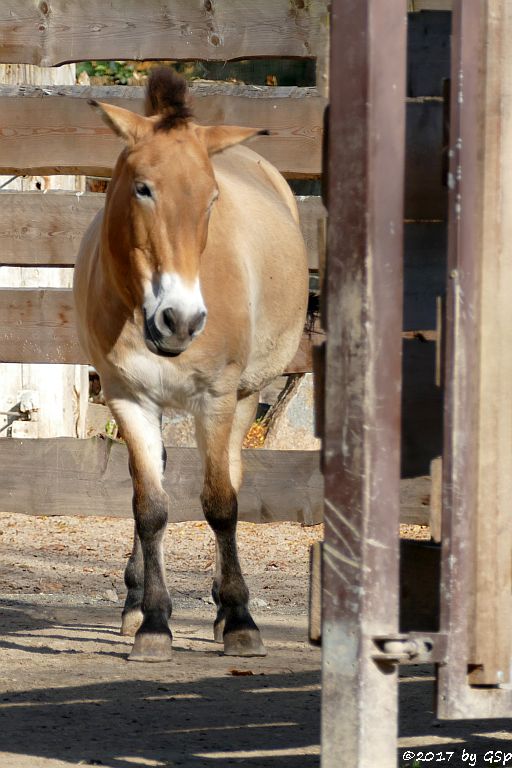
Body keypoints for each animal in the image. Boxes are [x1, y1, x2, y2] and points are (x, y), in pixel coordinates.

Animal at [74, 69, 308, 664]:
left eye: (211, 198)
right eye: (142, 188)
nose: (179, 320)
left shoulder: (217, 396)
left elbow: (220, 502)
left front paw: (241, 620)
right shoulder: (127, 398)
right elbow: (150, 507)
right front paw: (154, 623)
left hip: (244, 397)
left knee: (230, 476)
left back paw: (225, 610)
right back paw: (137, 602)